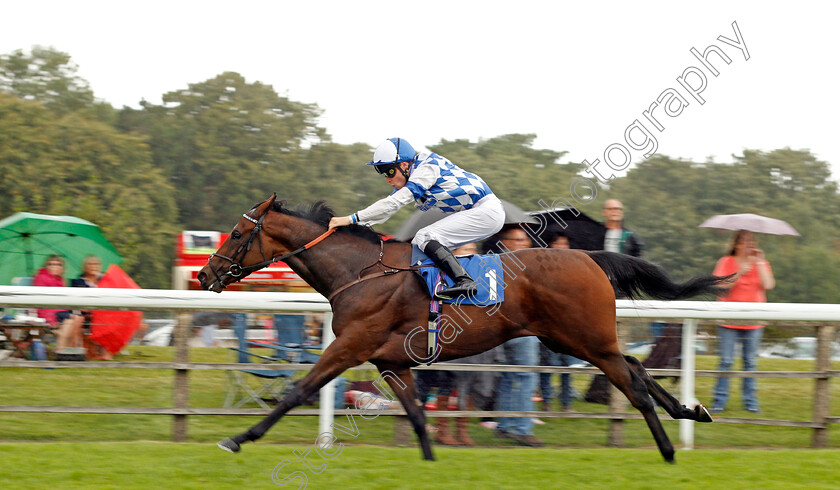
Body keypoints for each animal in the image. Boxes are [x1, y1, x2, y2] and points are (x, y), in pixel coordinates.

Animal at [197, 194, 720, 464]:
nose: (205, 275)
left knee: (631, 381)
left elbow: (298, 390)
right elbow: (416, 413)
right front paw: (430, 459)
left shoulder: (351, 346)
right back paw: (691, 411)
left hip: (585, 338)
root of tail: (589, 256)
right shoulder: (390, 361)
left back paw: (668, 448)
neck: (360, 271)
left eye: (238, 233)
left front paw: (239, 438)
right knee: (635, 365)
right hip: (570, 338)